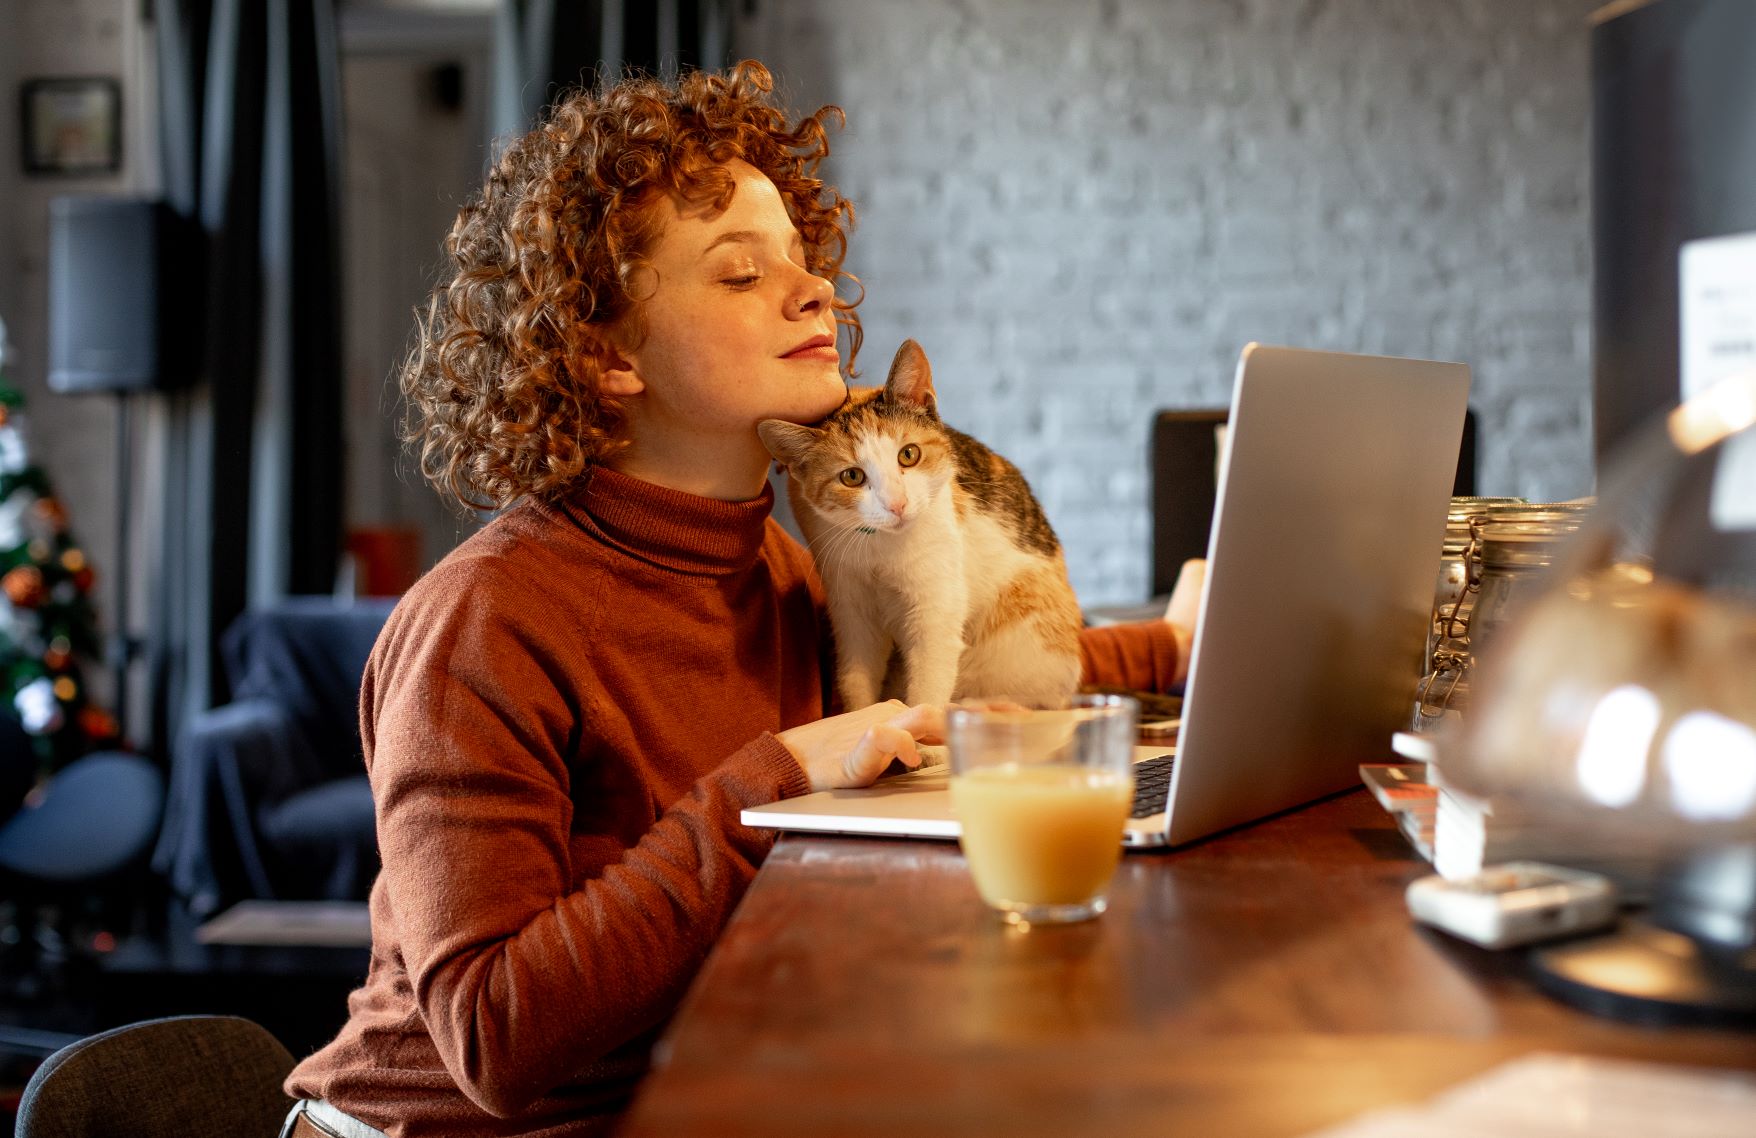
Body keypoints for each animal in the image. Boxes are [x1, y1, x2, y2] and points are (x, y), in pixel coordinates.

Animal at [758, 337, 1081, 709]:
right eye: (852, 476)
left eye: (908, 455)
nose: (897, 504)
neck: (880, 548)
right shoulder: (851, 607)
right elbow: (856, 678)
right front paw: (865, 713)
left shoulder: (935, 606)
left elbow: (928, 683)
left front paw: (921, 720)